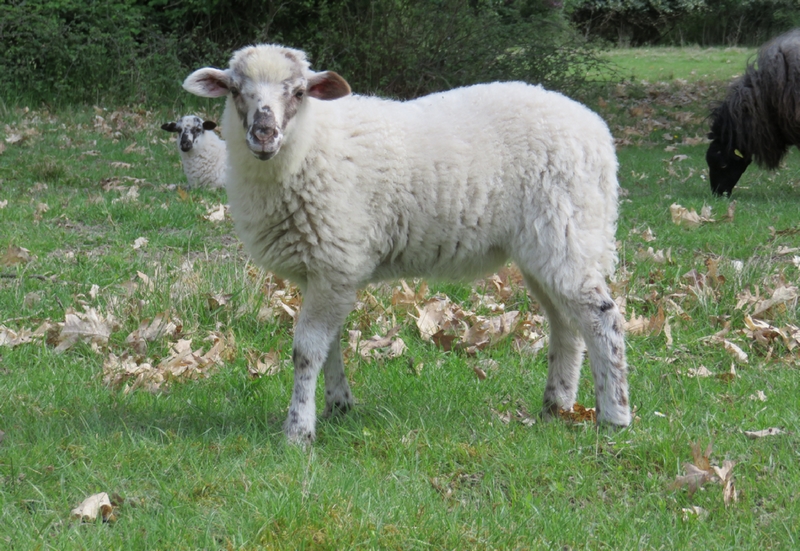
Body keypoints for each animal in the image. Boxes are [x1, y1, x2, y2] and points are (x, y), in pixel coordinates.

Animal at [183, 44, 631, 444]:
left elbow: (307, 349)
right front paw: (338, 407)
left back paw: (615, 416)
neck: (311, 145)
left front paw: (299, 430)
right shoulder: (326, 270)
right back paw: (556, 405)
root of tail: (598, 133)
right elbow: (330, 345)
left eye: (297, 92)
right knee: (566, 325)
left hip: (568, 231)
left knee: (602, 317)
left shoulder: (334, 261)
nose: (264, 134)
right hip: (546, 247)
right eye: (235, 90)